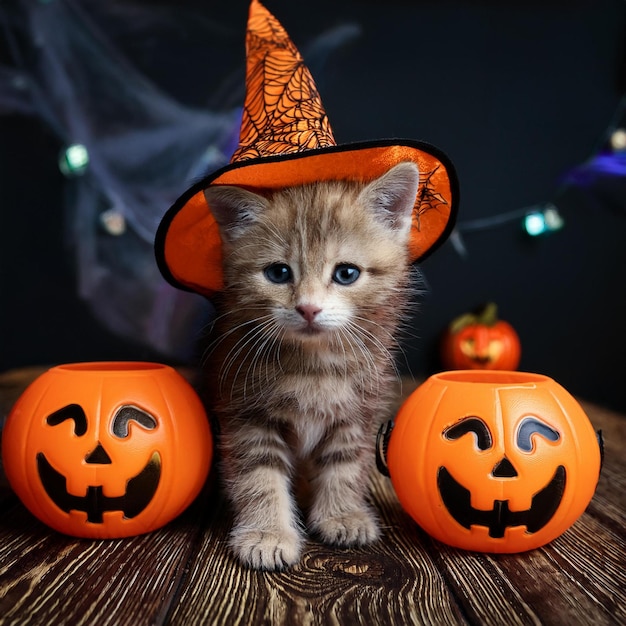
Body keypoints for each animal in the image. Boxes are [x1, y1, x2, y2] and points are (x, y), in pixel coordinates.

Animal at [205, 160, 420, 564]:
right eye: (278, 273)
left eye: (346, 273)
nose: (308, 308)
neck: (313, 366)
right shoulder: (244, 411)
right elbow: (259, 475)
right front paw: (267, 534)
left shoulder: (358, 412)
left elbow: (345, 465)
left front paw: (343, 515)